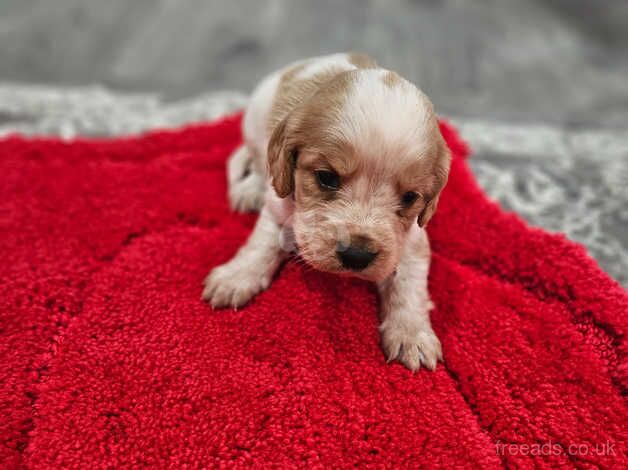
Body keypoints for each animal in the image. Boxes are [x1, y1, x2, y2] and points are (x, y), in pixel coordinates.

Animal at [202, 53, 452, 370]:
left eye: (410, 197)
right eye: (327, 177)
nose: (357, 255)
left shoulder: (412, 238)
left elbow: (409, 283)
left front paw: (411, 333)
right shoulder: (279, 204)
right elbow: (262, 244)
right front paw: (236, 277)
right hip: (255, 123)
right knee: (259, 163)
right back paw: (250, 190)